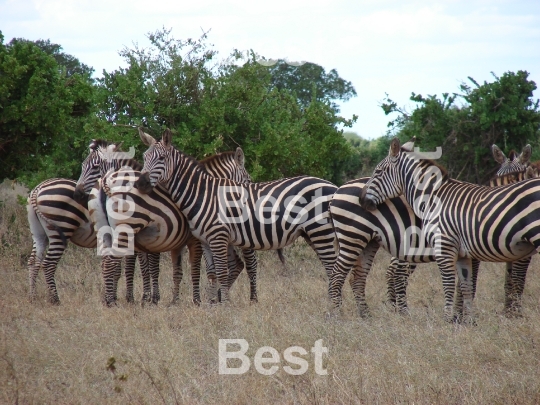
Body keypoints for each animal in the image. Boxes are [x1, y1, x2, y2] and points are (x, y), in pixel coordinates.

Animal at [135, 128, 338, 302]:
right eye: (144, 157)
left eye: (162, 158)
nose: (139, 183)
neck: (202, 194)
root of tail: (333, 186)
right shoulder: (205, 240)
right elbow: (212, 273)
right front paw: (211, 305)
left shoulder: (218, 237)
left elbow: (222, 272)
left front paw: (223, 305)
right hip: (314, 234)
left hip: (320, 231)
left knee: (332, 267)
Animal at [356, 138, 540, 322]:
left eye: (378, 171)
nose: (361, 200)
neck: (433, 198)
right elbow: (468, 284)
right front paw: (464, 318)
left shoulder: (449, 248)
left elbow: (456, 283)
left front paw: (453, 318)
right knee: (392, 272)